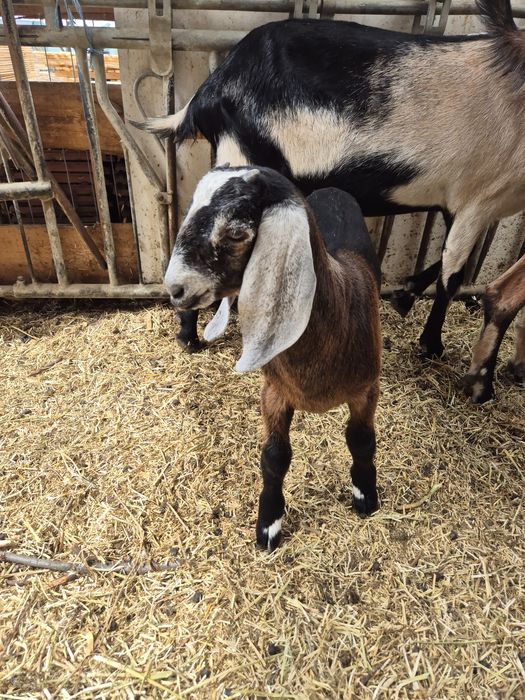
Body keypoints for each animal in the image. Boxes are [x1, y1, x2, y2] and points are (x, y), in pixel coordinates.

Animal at [135, 0, 525, 402]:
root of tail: (208, 92)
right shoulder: (478, 199)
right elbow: (453, 276)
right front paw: (432, 346)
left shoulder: (462, 206)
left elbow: (445, 262)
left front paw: (406, 296)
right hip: (245, 156)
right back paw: (188, 333)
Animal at [164, 166, 381, 550]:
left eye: (236, 233)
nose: (174, 288)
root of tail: (331, 188)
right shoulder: (274, 393)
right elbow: (275, 456)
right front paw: (269, 524)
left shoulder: (366, 390)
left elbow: (361, 440)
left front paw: (364, 495)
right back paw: (188, 338)